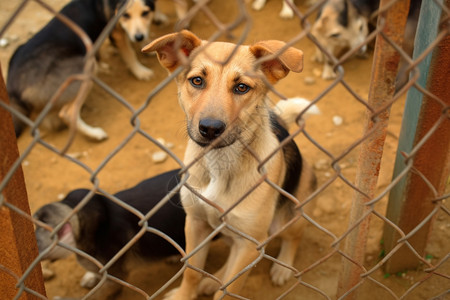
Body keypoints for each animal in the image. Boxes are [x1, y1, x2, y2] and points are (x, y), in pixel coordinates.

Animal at [143, 30, 316, 300]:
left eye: (241, 87)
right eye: (197, 81)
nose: (210, 128)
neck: (219, 164)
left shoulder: (251, 243)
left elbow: (229, 291)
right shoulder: (196, 223)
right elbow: (191, 271)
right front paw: (187, 293)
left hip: (286, 219)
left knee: (294, 237)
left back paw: (283, 267)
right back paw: (212, 281)